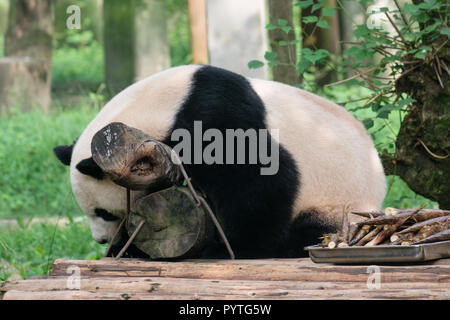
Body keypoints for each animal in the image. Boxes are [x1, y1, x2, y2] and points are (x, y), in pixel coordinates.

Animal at [53, 64, 386, 258]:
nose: (99, 240)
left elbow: (263, 178)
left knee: (311, 226)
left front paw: (236, 246)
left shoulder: (215, 116)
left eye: (103, 212)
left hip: (339, 201)